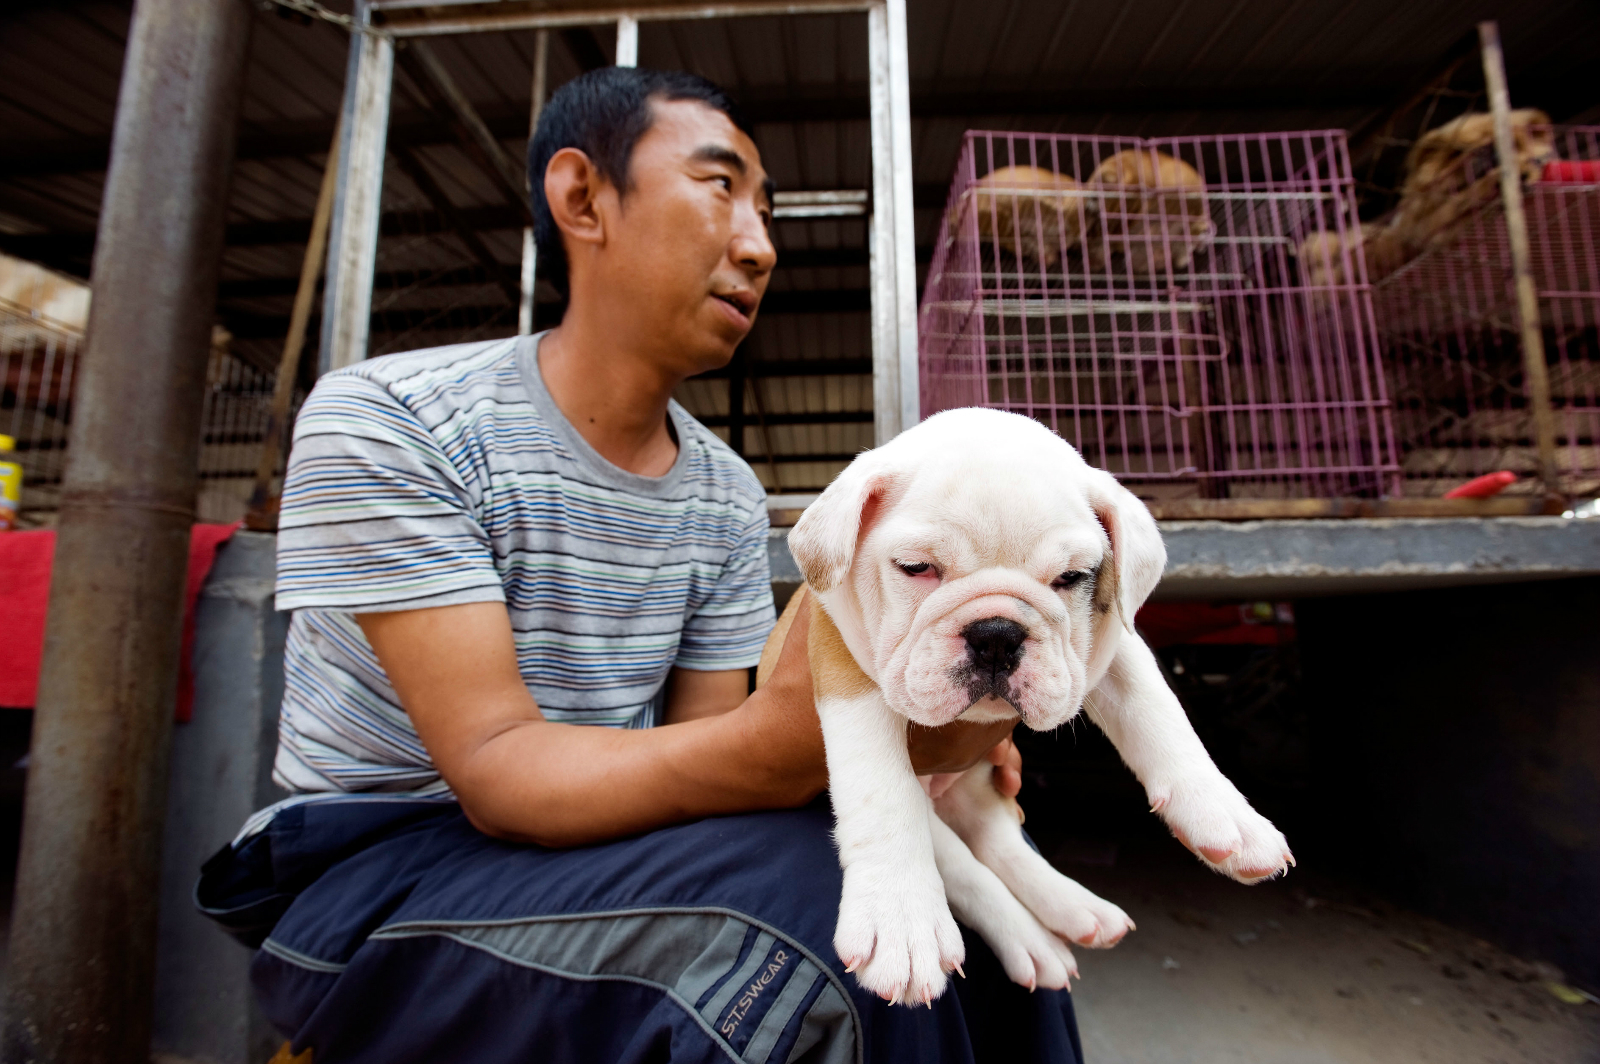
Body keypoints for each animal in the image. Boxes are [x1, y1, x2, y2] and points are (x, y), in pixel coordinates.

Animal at [787, 408, 1299, 1004]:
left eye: (1072, 578)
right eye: (915, 568)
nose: (996, 634)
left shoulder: (1109, 643)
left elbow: (1157, 708)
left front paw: (1226, 814)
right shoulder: (838, 653)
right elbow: (880, 789)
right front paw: (899, 922)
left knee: (998, 841)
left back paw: (1075, 912)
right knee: (963, 866)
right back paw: (1015, 938)